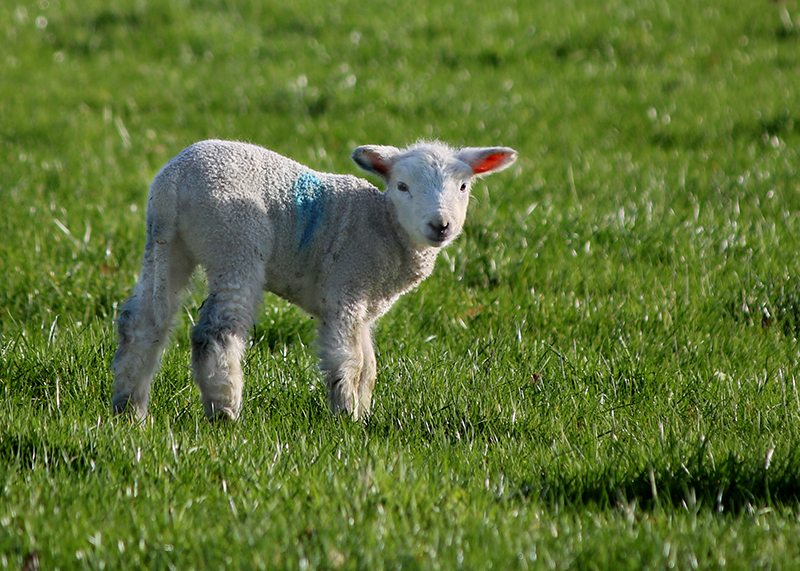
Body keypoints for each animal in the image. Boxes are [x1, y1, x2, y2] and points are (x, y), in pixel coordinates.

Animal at [109, 141, 516, 422]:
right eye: (402, 186)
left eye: (463, 187)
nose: (440, 225)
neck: (385, 227)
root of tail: (177, 181)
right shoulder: (347, 286)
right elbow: (348, 360)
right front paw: (346, 417)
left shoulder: (363, 307)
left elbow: (369, 366)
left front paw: (363, 414)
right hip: (235, 240)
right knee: (215, 331)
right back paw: (224, 412)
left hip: (165, 242)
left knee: (144, 321)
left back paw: (129, 409)